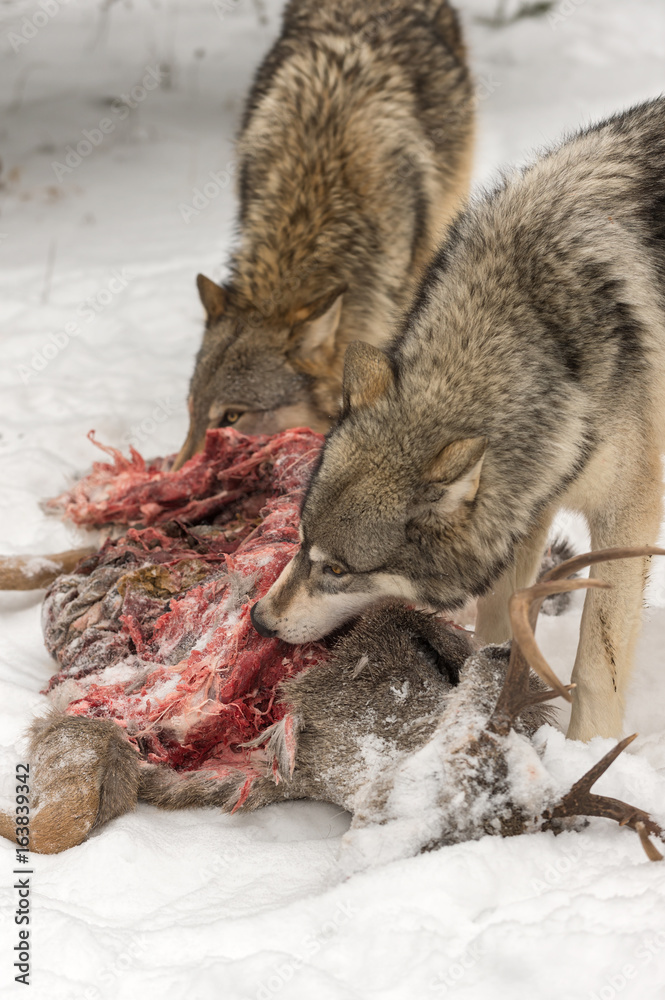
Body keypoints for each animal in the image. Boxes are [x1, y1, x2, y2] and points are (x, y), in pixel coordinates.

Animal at [251, 98, 665, 742]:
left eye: (340, 569)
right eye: (298, 540)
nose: (260, 622)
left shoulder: (626, 518)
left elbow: (598, 667)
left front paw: (585, 747)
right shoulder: (525, 513)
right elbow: (499, 625)